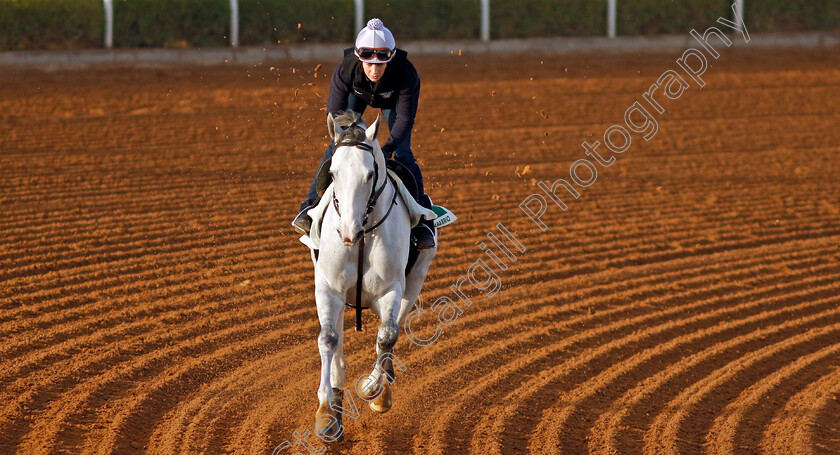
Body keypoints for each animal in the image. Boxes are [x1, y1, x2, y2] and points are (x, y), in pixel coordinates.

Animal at [312, 110, 436, 442]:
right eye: (334, 172)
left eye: (369, 175)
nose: (347, 230)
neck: (362, 236)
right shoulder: (328, 288)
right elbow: (328, 339)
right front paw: (326, 413)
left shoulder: (392, 289)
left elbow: (388, 336)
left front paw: (376, 393)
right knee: (339, 344)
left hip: (414, 281)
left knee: (393, 331)